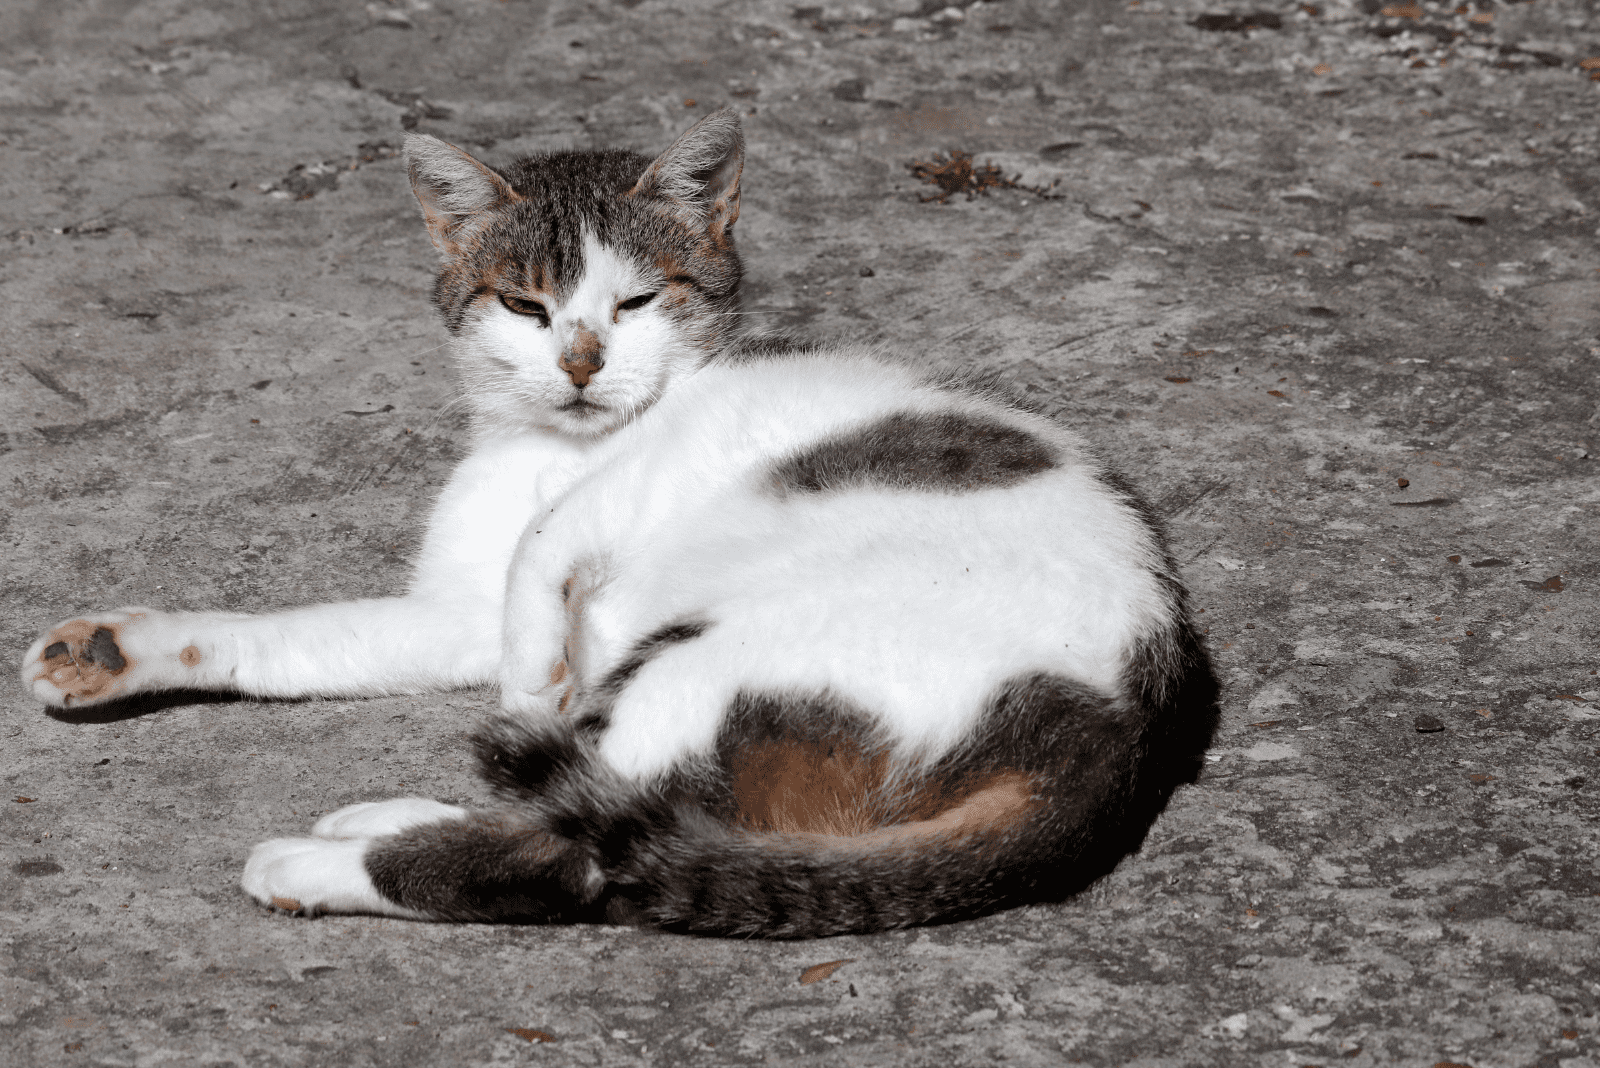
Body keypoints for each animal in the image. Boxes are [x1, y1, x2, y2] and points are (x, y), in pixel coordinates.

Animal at [18, 112, 1216, 940]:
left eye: (637, 302)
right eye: (524, 305)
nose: (583, 362)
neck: (551, 447)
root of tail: (1113, 740)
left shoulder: (673, 453)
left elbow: (543, 554)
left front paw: (531, 676)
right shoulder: (455, 607)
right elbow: (303, 635)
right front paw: (117, 650)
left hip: (710, 664)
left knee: (586, 857)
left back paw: (333, 861)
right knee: (612, 820)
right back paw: (390, 816)